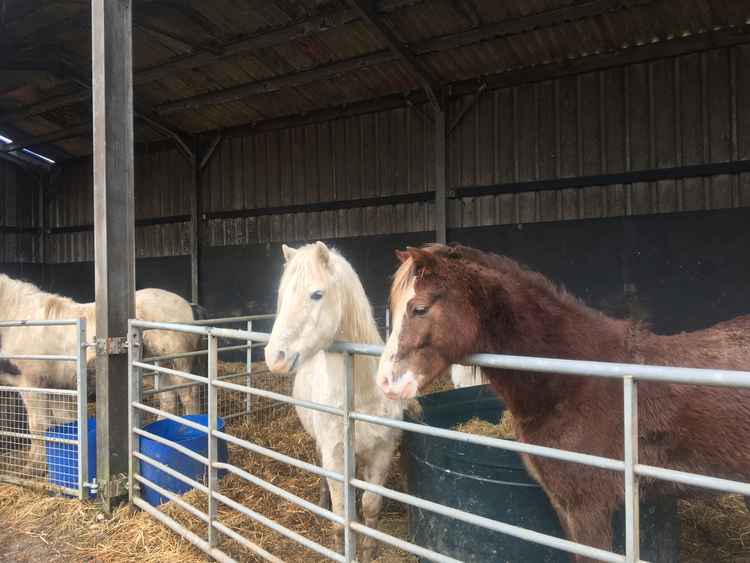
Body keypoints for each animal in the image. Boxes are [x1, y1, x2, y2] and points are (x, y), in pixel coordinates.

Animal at [0, 276, 204, 474]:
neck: (18, 319)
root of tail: (187, 305)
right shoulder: (56, 386)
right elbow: (63, 422)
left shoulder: (32, 383)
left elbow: (38, 424)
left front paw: (34, 466)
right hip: (158, 365)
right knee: (168, 398)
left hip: (178, 362)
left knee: (188, 395)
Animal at [266, 243, 406, 563]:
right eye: (282, 294)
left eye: (317, 294)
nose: (274, 357)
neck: (360, 395)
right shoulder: (334, 453)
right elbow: (343, 510)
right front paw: (341, 546)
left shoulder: (382, 451)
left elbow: (370, 504)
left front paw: (369, 550)